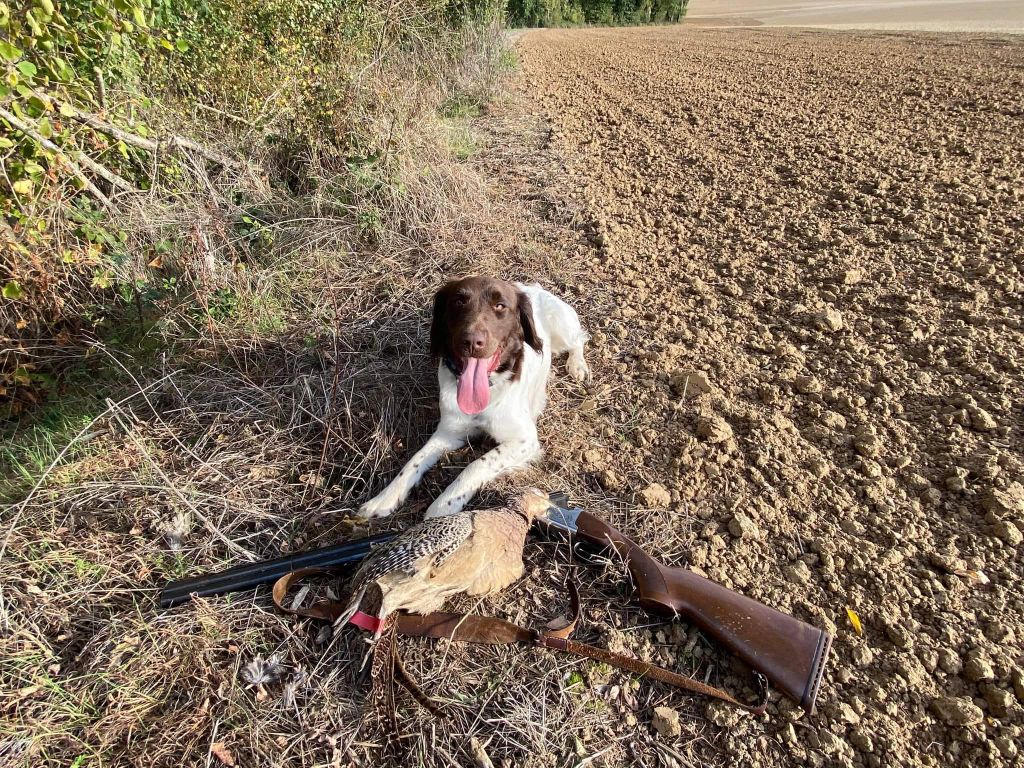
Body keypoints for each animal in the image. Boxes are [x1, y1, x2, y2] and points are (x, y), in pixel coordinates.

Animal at [360, 274, 589, 520]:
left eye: (500, 306)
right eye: (459, 301)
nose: (471, 341)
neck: (488, 391)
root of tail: (532, 287)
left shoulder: (525, 440)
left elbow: (477, 464)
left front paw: (445, 504)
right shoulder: (448, 433)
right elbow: (415, 460)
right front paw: (385, 497)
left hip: (562, 326)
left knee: (579, 339)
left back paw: (578, 366)